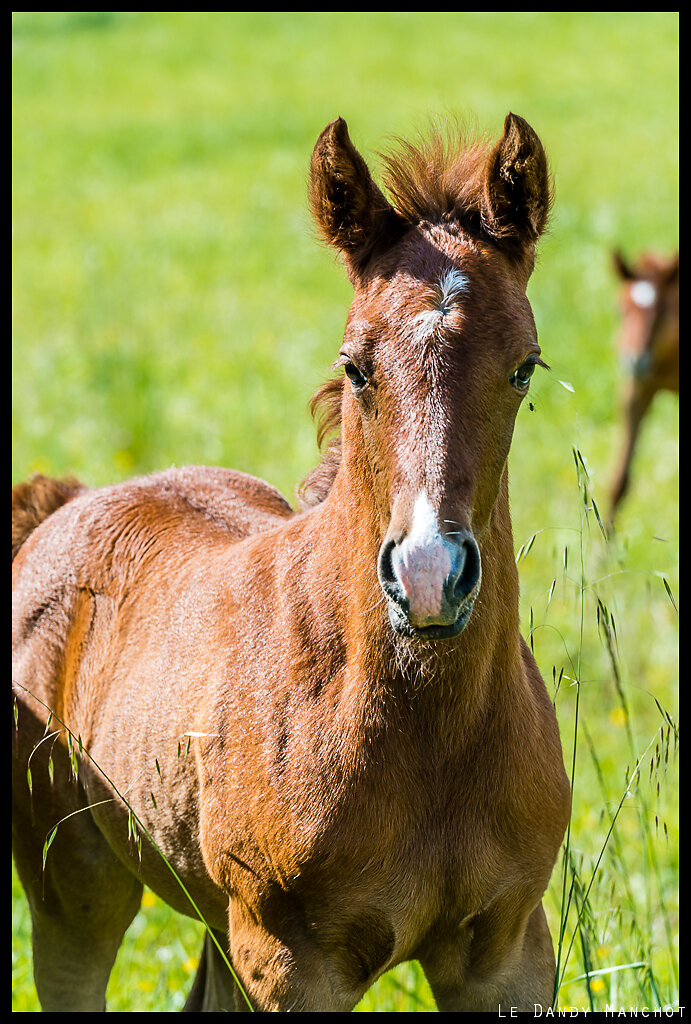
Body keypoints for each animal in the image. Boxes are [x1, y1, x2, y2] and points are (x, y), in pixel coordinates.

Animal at [12, 114, 573, 1015]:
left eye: (525, 366)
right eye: (354, 366)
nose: (429, 575)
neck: (430, 734)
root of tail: (69, 500)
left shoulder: (507, 950)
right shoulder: (289, 961)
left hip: (212, 915)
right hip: (75, 885)